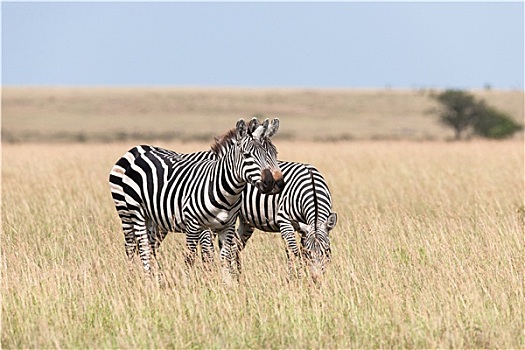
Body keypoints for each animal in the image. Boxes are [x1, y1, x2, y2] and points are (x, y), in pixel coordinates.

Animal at [108, 118, 284, 282]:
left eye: (274, 154)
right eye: (247, 155)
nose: (274, 183)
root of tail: (134, 149)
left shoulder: (227, 225)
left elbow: (224, 255)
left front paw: (227, 283)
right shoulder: (200, 226)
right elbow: (202, 255)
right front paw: (201, 281)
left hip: (154, 219)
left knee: (150, 246)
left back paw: (153, 277)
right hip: (128, 212)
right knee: (133, 246)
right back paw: (136, 278)